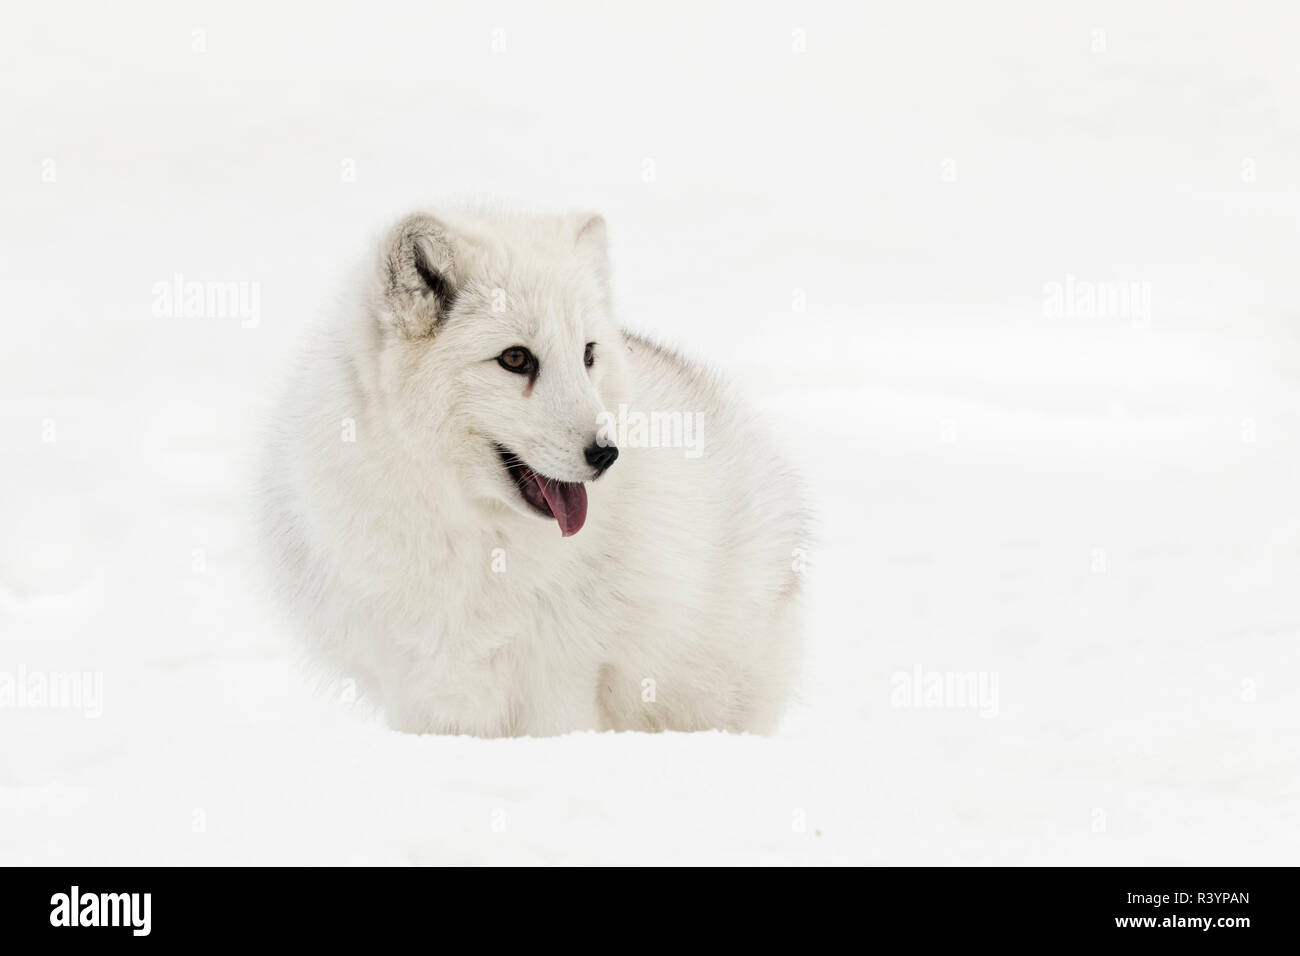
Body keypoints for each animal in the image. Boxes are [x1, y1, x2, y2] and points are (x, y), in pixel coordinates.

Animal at [257, 207, 808, 737]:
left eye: (587, 355)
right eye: (516, 358)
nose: (607, 455)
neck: (477, 543)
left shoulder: (561, 679)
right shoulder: (419, 686)